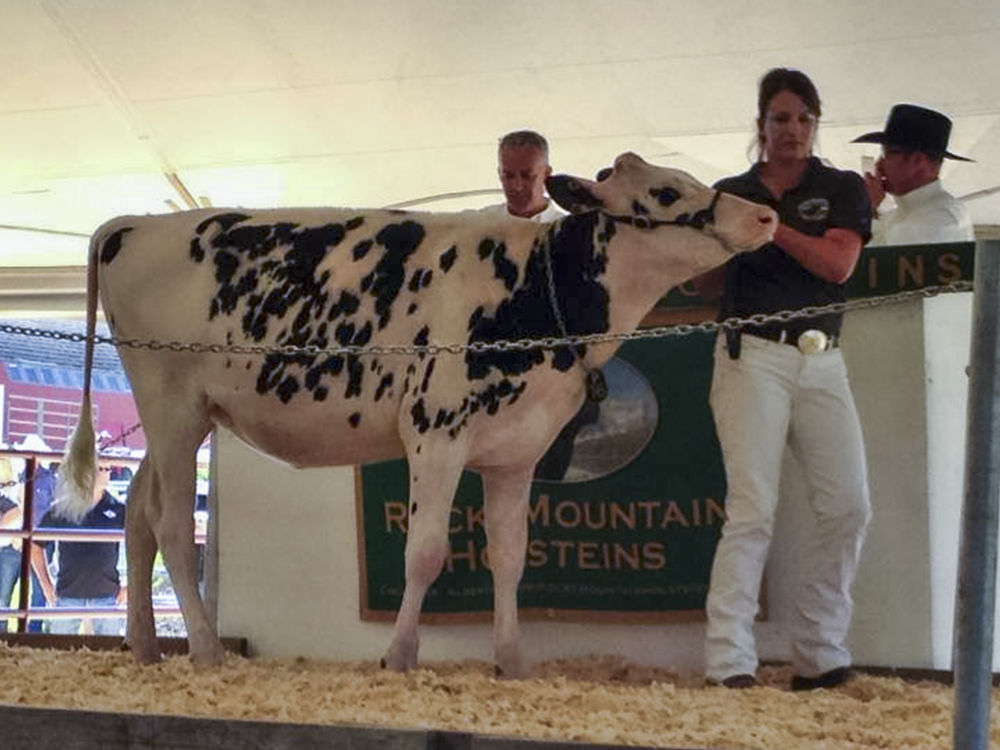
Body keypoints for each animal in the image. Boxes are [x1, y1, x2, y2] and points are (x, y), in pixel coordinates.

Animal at [54, 151, 776, 676]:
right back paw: (204, 651)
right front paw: (400, 657)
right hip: (172, 406)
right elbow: (425, 552)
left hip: (178, 416)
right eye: (667, 193)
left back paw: (146, 648)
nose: (766, 217)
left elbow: (510, 557)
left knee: (138, 515)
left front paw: (511, 662)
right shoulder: (437, 429)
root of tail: (132, 224)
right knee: (173, 524)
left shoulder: (516, 450)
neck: (534, 290)